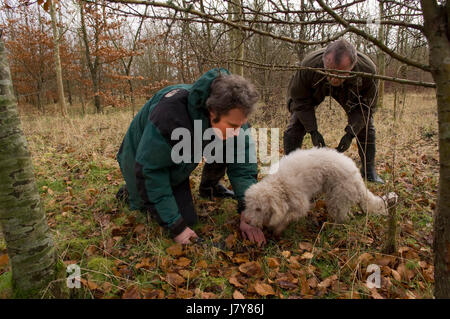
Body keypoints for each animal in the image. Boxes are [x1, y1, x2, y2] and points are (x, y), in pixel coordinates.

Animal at [243, 148, 394, 238]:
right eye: (249, 206)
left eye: (259, 209)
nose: (247, 221)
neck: (280, 184)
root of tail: (357, 176)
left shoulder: (300, 204)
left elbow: (286, 217)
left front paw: (277, 229)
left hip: (337, 199)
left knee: (342, 218)